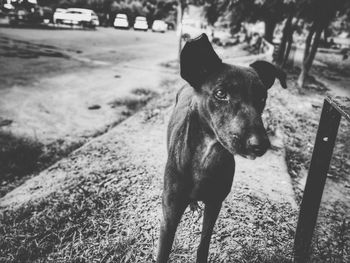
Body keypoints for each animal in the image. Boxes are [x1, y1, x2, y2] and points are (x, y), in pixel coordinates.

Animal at [157, 34, 288, 262]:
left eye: (262, 98)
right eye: (220, 93)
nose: (259, 145)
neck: (207, 154)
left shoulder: (215, 205)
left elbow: (204, 245)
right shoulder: (169, 217)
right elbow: (163, 252)